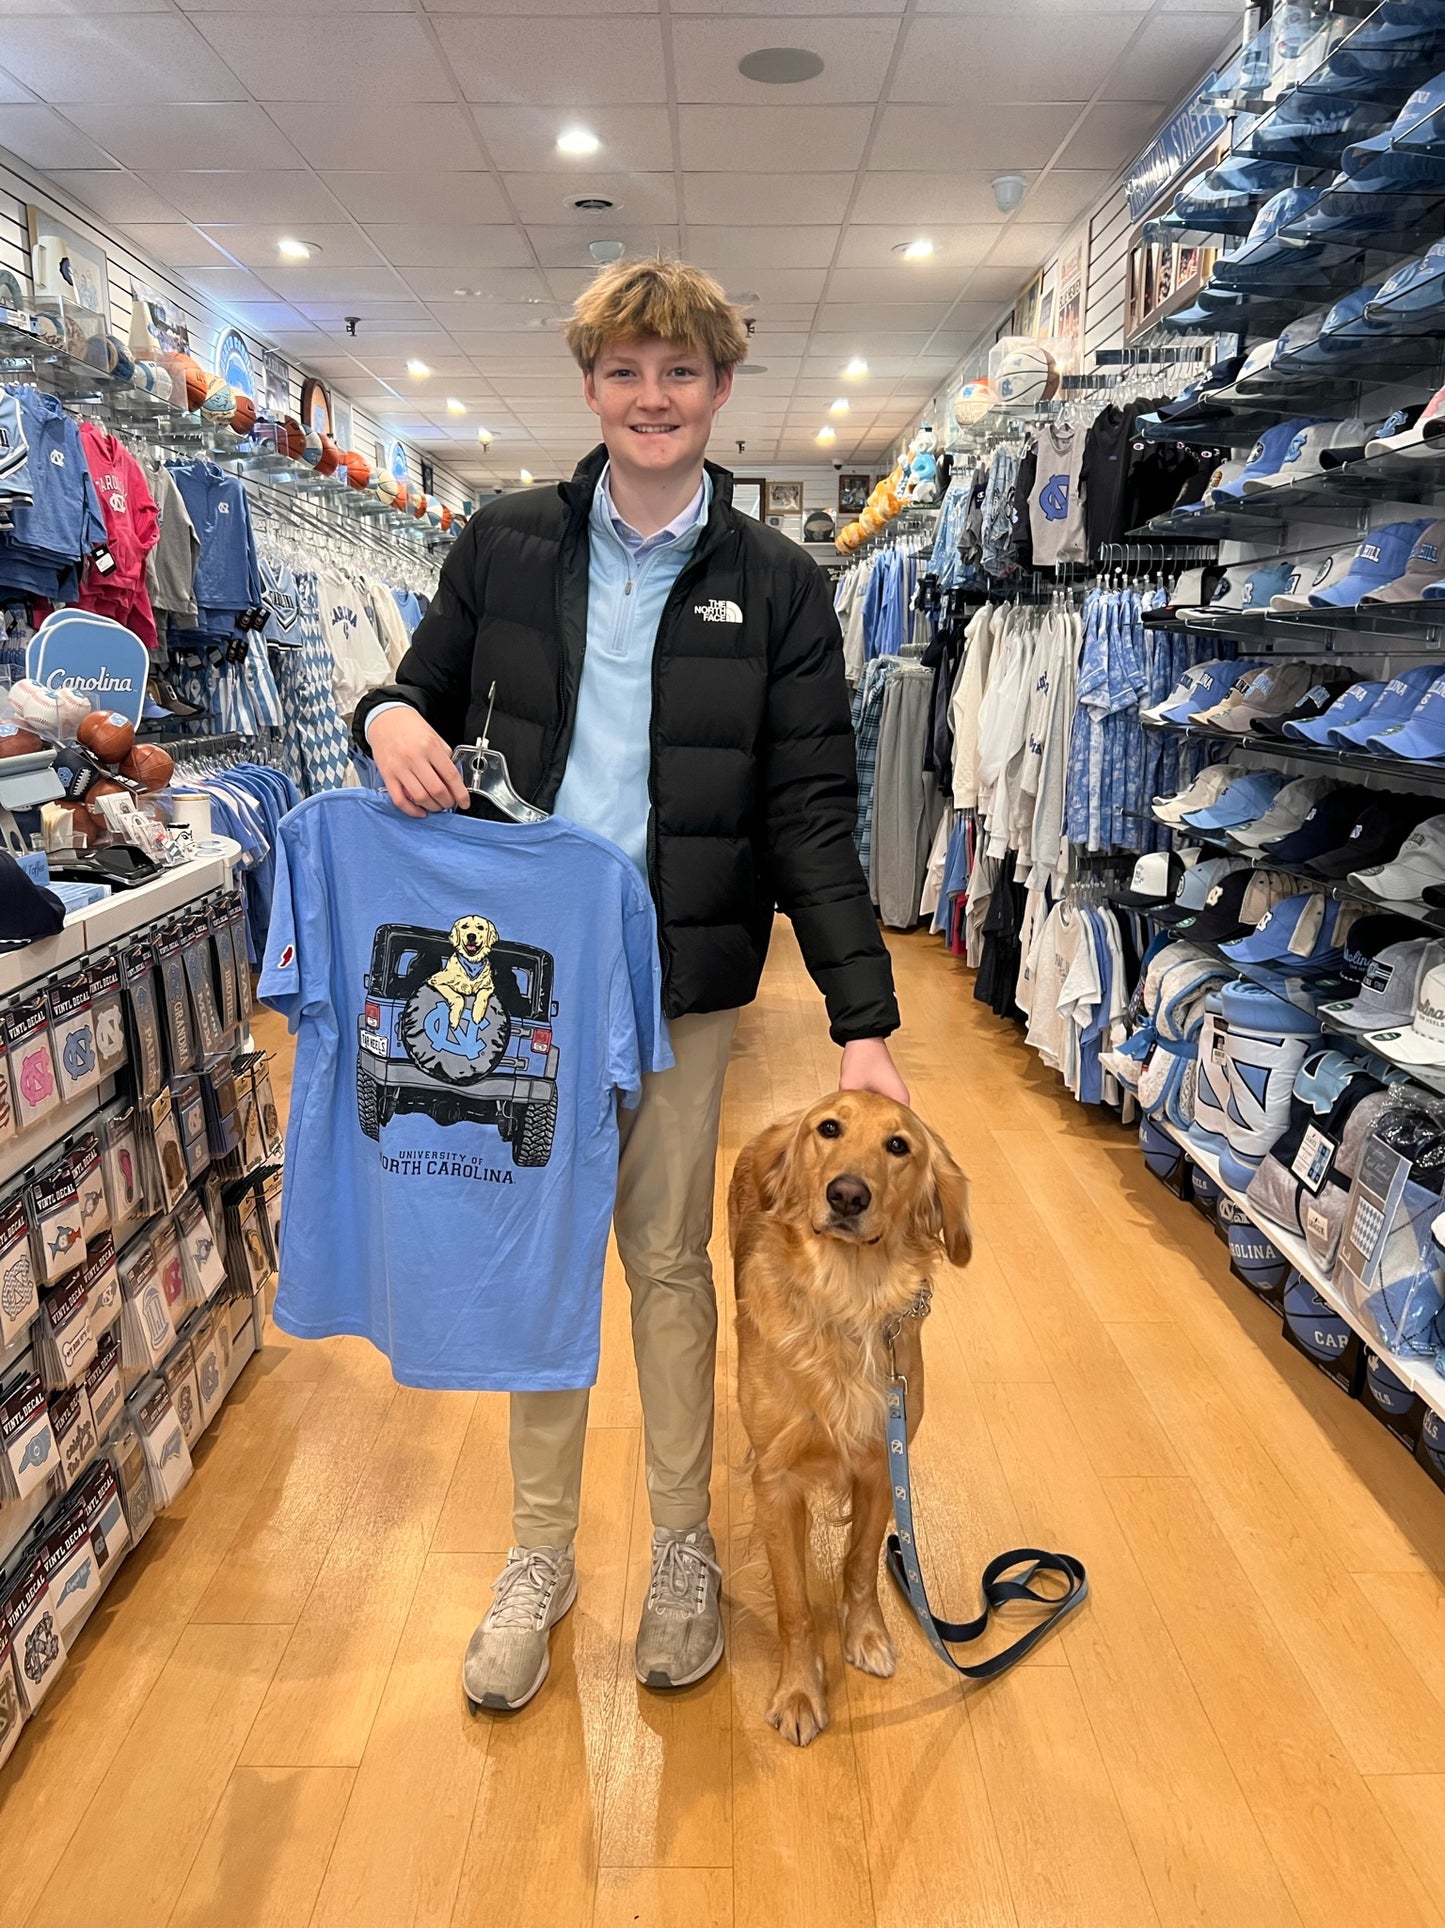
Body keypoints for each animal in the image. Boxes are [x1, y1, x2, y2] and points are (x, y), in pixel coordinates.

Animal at [733, 1102, 968, 1750]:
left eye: (898, 1145)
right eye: (829, 1129)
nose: (846, 1195)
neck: (849, 1296)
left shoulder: (882, 1464)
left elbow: (861, 1564)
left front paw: (864, 1635)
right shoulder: (776, 1482)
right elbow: (792, 1603)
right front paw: (799, 1691)